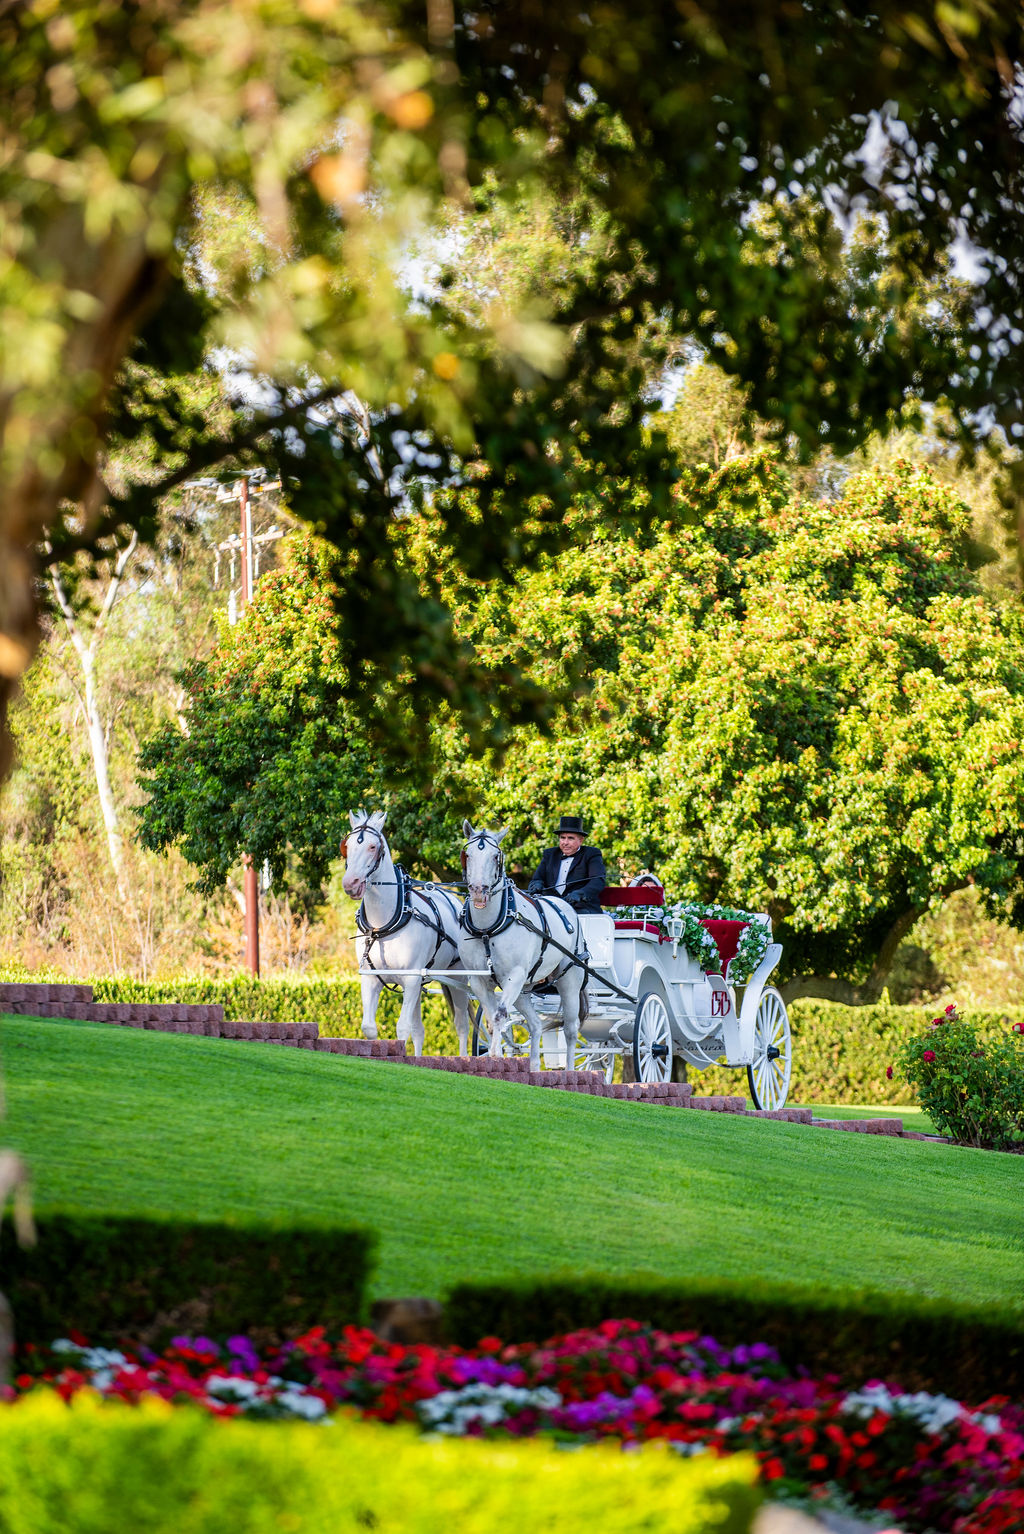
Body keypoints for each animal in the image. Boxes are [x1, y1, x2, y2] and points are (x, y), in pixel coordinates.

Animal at [341, 809, 471, 1057]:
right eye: (347, 845)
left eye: (373, 846)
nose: (350, 883)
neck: (383, 926)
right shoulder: (372, 979)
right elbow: (369, 1027)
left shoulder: (410, 979)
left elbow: (402, 1028)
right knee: (419, 1030)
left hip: (457, 978)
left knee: (462, 1025)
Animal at [457, 820, 589, 1072]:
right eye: (467, 855)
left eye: (495, 856)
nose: (478, 891)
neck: (488, 929)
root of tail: (565, 905)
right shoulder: (479, 980)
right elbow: (491, 1020)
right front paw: (495, 1054)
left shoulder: (514, 975)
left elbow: (499, 1015)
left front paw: (495, 1054)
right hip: (524, 987)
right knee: (536, 1023)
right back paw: (535, 1067)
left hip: (569, 980)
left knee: (570, 1029)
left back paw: (570, 1070)